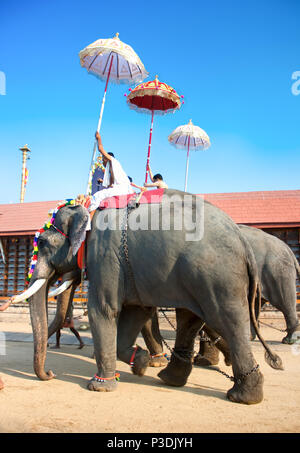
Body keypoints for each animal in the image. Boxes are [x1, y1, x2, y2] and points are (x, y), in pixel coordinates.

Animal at [12, 189, 284, 404]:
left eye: (43, 243)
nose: (50, 374)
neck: (89, 209)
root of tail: (242, 240)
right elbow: (137, 311)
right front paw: (141, 364)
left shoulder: (105, 258)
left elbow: (103, 310)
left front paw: (99, 387)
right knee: (190, 319)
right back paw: (172, 378)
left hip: (217, 277)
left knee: (228, 321)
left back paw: (242, 397)